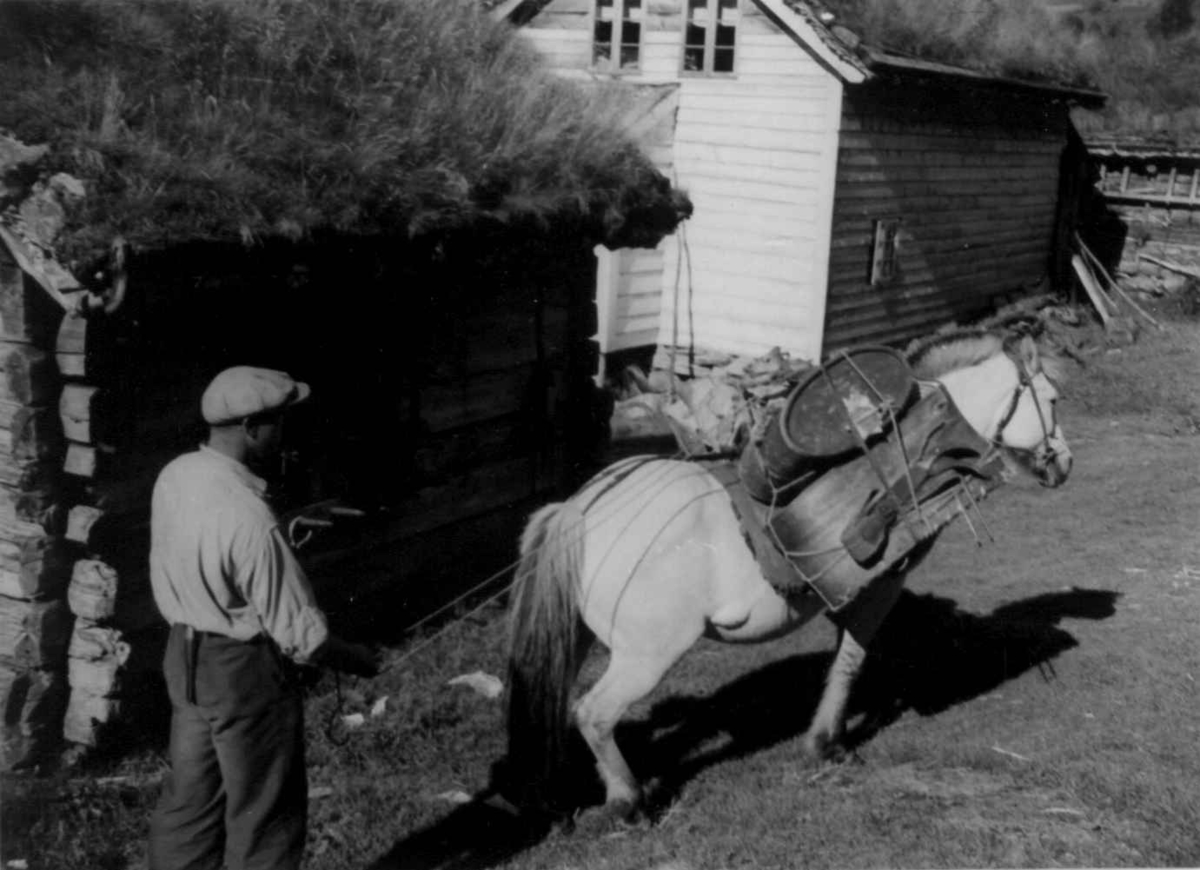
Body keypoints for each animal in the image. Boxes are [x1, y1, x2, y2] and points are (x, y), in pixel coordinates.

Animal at [501, 328, 1075, 816]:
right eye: (1050, 400)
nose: (1064, 463)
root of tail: (580, 510)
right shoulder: (879, 588)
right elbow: (850, 662)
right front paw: (825, 744)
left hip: (576, 636)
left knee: (557, 705)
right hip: (647, 654)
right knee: (593, 714)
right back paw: (627, 801)